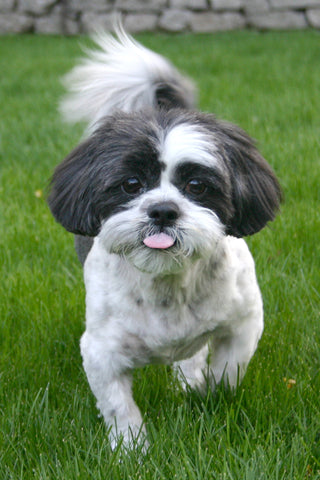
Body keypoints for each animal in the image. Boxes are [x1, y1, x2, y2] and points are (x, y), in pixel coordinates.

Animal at [47, 24, 280, 448]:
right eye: (130, 184)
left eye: (197, 186)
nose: (163, 210)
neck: (168, 285)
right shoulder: (101, 351)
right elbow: (119, 408)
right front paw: (132, 448)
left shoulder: (244, 323)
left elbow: (229, 370)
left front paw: (210, 398)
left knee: (192, 355)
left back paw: (189, 381)